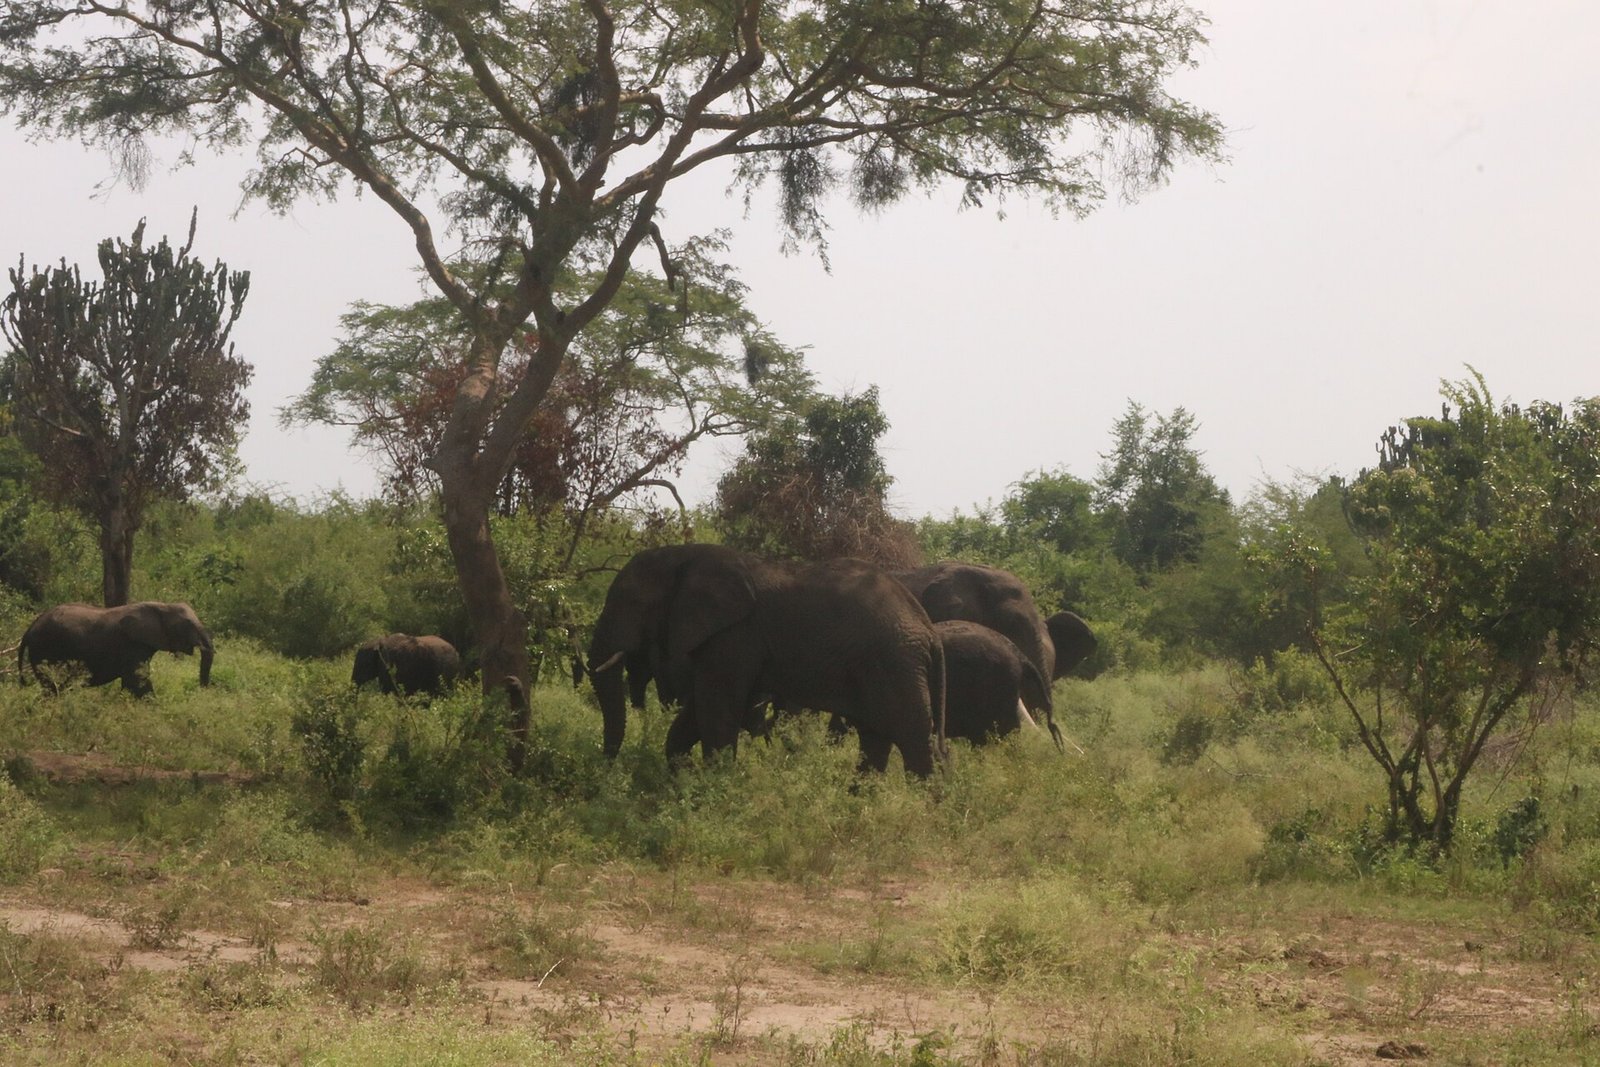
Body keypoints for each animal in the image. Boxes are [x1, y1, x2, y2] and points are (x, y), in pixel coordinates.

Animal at [18, 601, 214, 696]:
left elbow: (131, 683)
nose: (202, 691)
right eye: (187, 625)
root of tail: (29, 629)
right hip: (45, 648)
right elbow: (138, 681)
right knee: (52, 686)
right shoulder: (132, 645)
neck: (162, 606)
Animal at [587, 546, 946, 775]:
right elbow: (698, 713)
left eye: (630, 603)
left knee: (913, 738)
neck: (685, 556)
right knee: (875, 738)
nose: (606, 768)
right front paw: (685, 782)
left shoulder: (735, 635)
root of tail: (927, 626)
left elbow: (716, 710)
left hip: (896, 662)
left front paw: (714, 791)